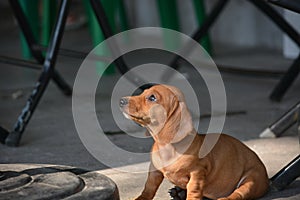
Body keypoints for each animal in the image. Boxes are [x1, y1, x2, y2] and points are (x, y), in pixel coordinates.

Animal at [119, 84, 270, 200]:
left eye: (152, 97)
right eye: (143, 92)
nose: (121, 100)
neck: (168, 147)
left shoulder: (197, 172)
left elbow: (194, 190)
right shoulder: (154, 171)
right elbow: (149, 187)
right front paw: (140, 198)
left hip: (251, 179)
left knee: (238, 194)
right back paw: (178, 192)